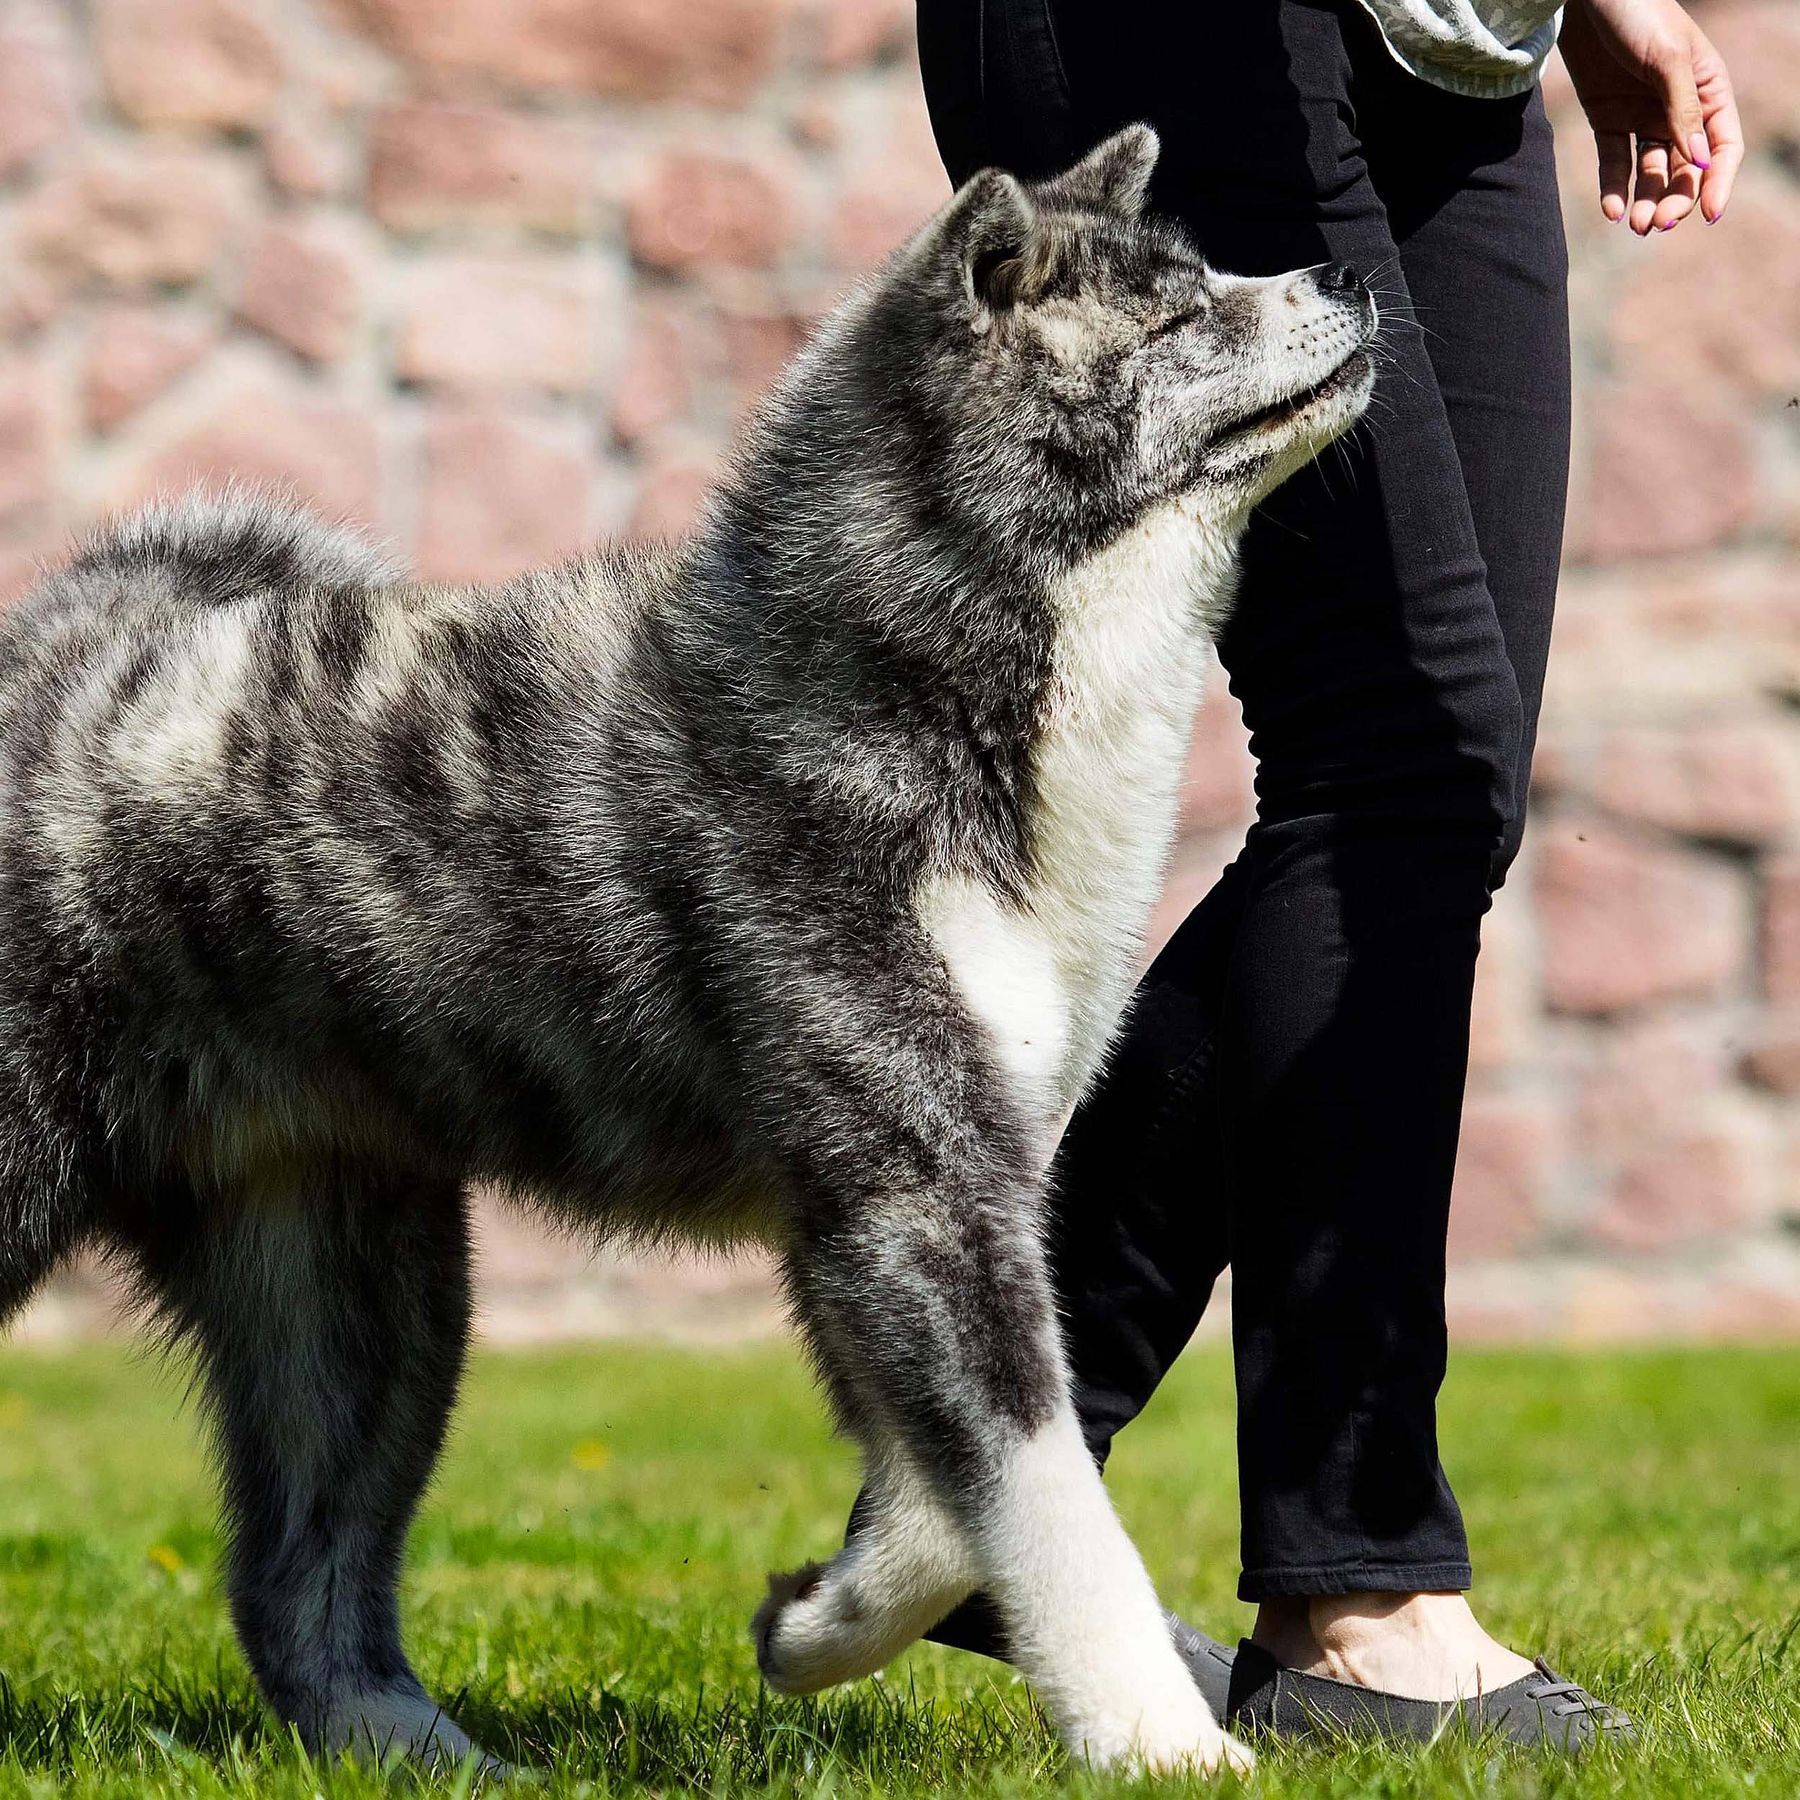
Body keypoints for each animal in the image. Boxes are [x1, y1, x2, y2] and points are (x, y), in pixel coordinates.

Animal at [0, 123, 1360, 1771]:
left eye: (1208, 269)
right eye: (1175, 316)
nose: (1348, 269)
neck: (907, 683)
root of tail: (54, 656)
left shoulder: (919, 1196)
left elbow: (946, 1500)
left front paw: (818, 1619)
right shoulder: (909, 1191)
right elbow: (1045, 1499)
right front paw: (1164, 1743)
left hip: (359, 1290)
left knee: (294, 1578)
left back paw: (440, 1764)